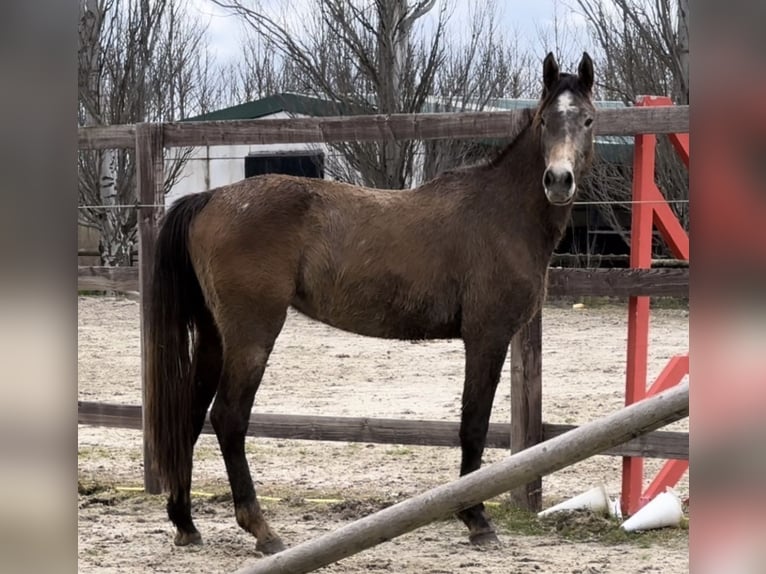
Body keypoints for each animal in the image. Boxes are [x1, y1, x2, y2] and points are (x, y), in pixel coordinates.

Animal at [146, 51, 600, 556]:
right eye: (544, 121)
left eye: (587, 119)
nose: (558, 180)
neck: (502, 213)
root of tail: (210, 197)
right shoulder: (487, 337)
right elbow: (474, 424)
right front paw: (475, 517)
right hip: (250, 336)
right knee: (228, 418)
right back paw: (262, 530)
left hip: (214, 337)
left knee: (188, 417)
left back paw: (185, 522)